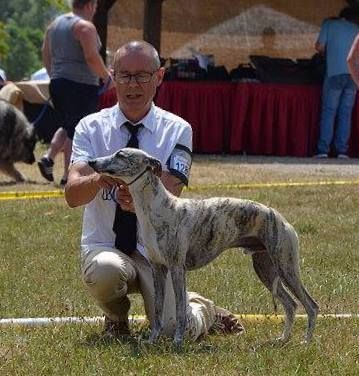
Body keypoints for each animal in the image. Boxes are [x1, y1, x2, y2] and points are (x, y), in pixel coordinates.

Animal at [88, 148, 320, 346]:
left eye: (121, 154)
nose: (91, 162)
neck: (159, 208)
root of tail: (283, 220)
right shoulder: (157, 269)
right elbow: (159, 309)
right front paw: (152, 340)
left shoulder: (177, 268)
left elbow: (180, 309)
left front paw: (178, 341)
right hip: (265, 268)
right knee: (291, 305)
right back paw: (282, 339)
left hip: (286, 266)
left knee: (311, 305)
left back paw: (306, 342)